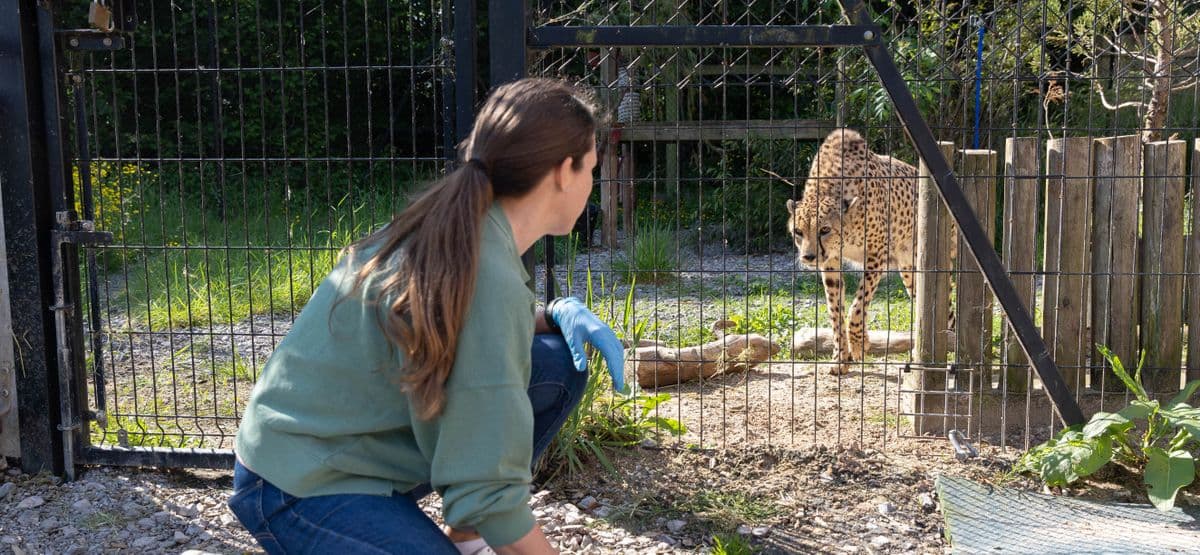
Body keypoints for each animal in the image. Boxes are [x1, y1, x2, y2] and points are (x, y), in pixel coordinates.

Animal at [785, 128, 954, 375]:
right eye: (798, 231)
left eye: (824, 229)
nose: (808, 257)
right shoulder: (831, 263)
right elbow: (835, 310)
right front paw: (840, 358)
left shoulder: (876, 255)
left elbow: (857, 306)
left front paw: (858, 344)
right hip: (909, 273)